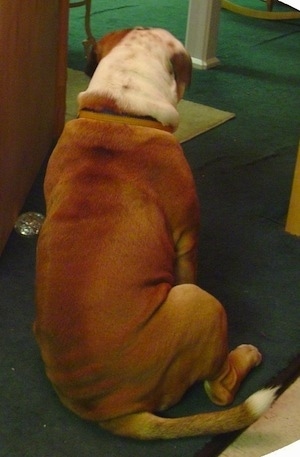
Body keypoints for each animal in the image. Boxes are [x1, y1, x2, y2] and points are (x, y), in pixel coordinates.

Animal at [33, 27, 276, 438]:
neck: (120, 109)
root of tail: (108, 411)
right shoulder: (187, 238)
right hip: (202, 305)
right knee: (219, 389)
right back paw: (245, 356)